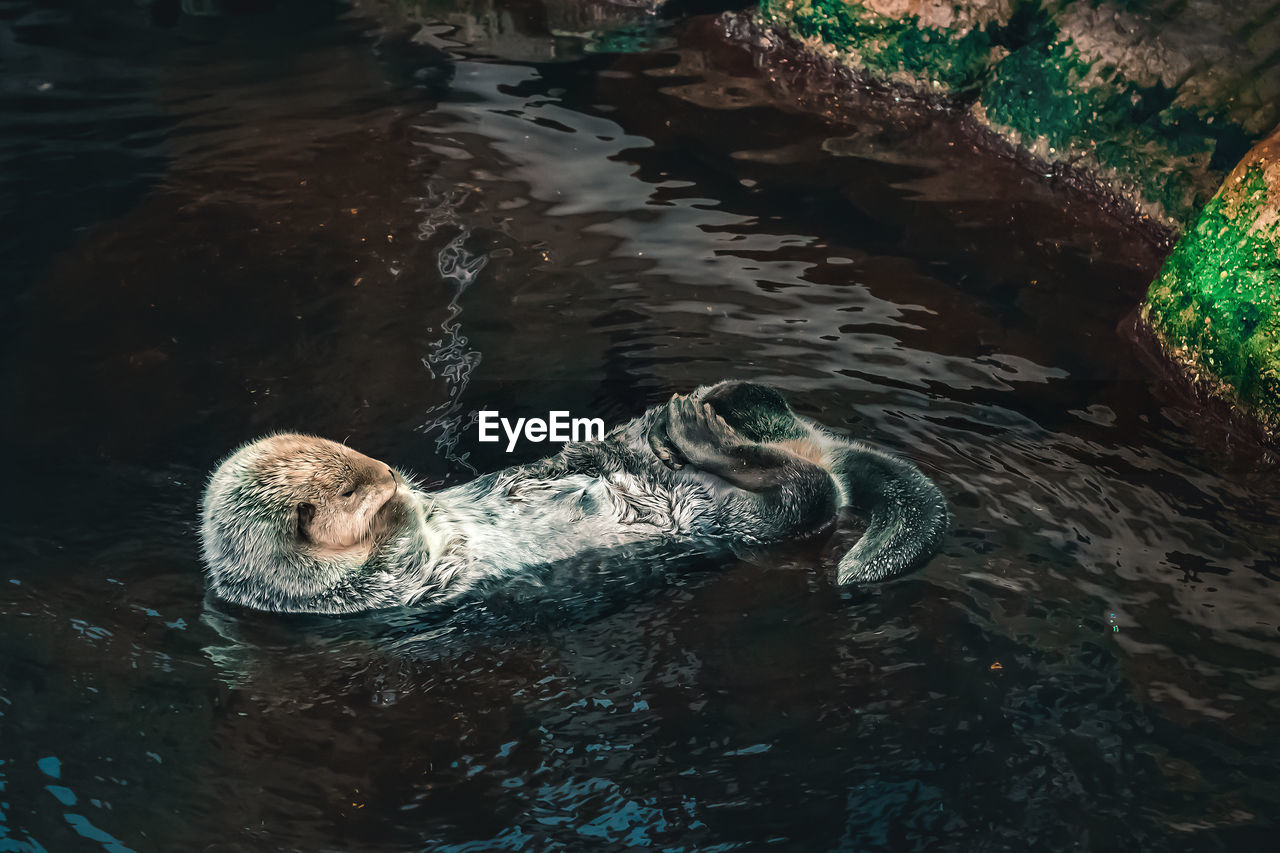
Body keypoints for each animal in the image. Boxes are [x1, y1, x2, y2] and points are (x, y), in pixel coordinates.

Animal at [202, 379, 952, 612]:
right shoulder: (370, 587)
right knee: (807, 490)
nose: (390, 472)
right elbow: (402, 547)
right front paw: (403, 505)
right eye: (353, 486)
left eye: (354, 459)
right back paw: (701, 427)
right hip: (747, 522)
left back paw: (702, 407)